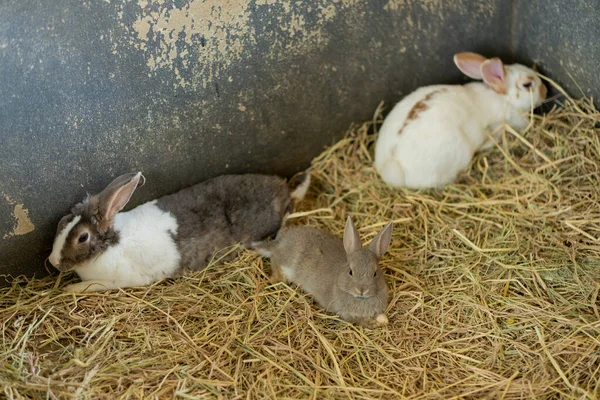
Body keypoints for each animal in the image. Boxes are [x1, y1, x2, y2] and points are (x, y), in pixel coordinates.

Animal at [48, 170, 310, 292]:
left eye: (82, 237)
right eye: (63, 220)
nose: (52, 262)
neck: (112, 244)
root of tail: (283, 191)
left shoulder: (119, 279)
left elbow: (90, 286)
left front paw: (70, 289)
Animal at [254, 217, 392, 330]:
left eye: (375, 273)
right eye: (351, 272)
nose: (362, 290)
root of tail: (281, 241)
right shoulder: (345, 313)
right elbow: (357, 320)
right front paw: (371, 323)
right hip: (287, 261)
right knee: (275, 260)